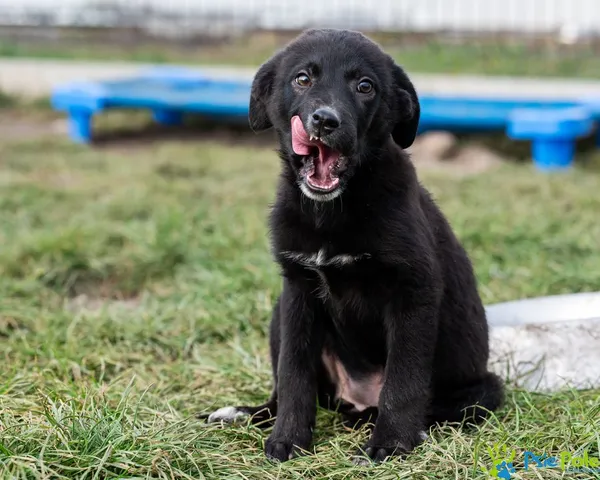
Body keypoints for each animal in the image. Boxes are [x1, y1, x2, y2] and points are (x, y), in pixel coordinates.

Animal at [209, 28, 504, 464]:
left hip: (481, 389)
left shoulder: (413, 292)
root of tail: (357, 401)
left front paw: (391, 443)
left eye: (365, 87)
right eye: (302, 79)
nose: (325, 120)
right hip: (280, 313)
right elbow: (294, 375)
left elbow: (403, 378)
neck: (332, 212)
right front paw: (289, 439)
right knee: (295, 391)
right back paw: (246, 413)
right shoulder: (298, 290)